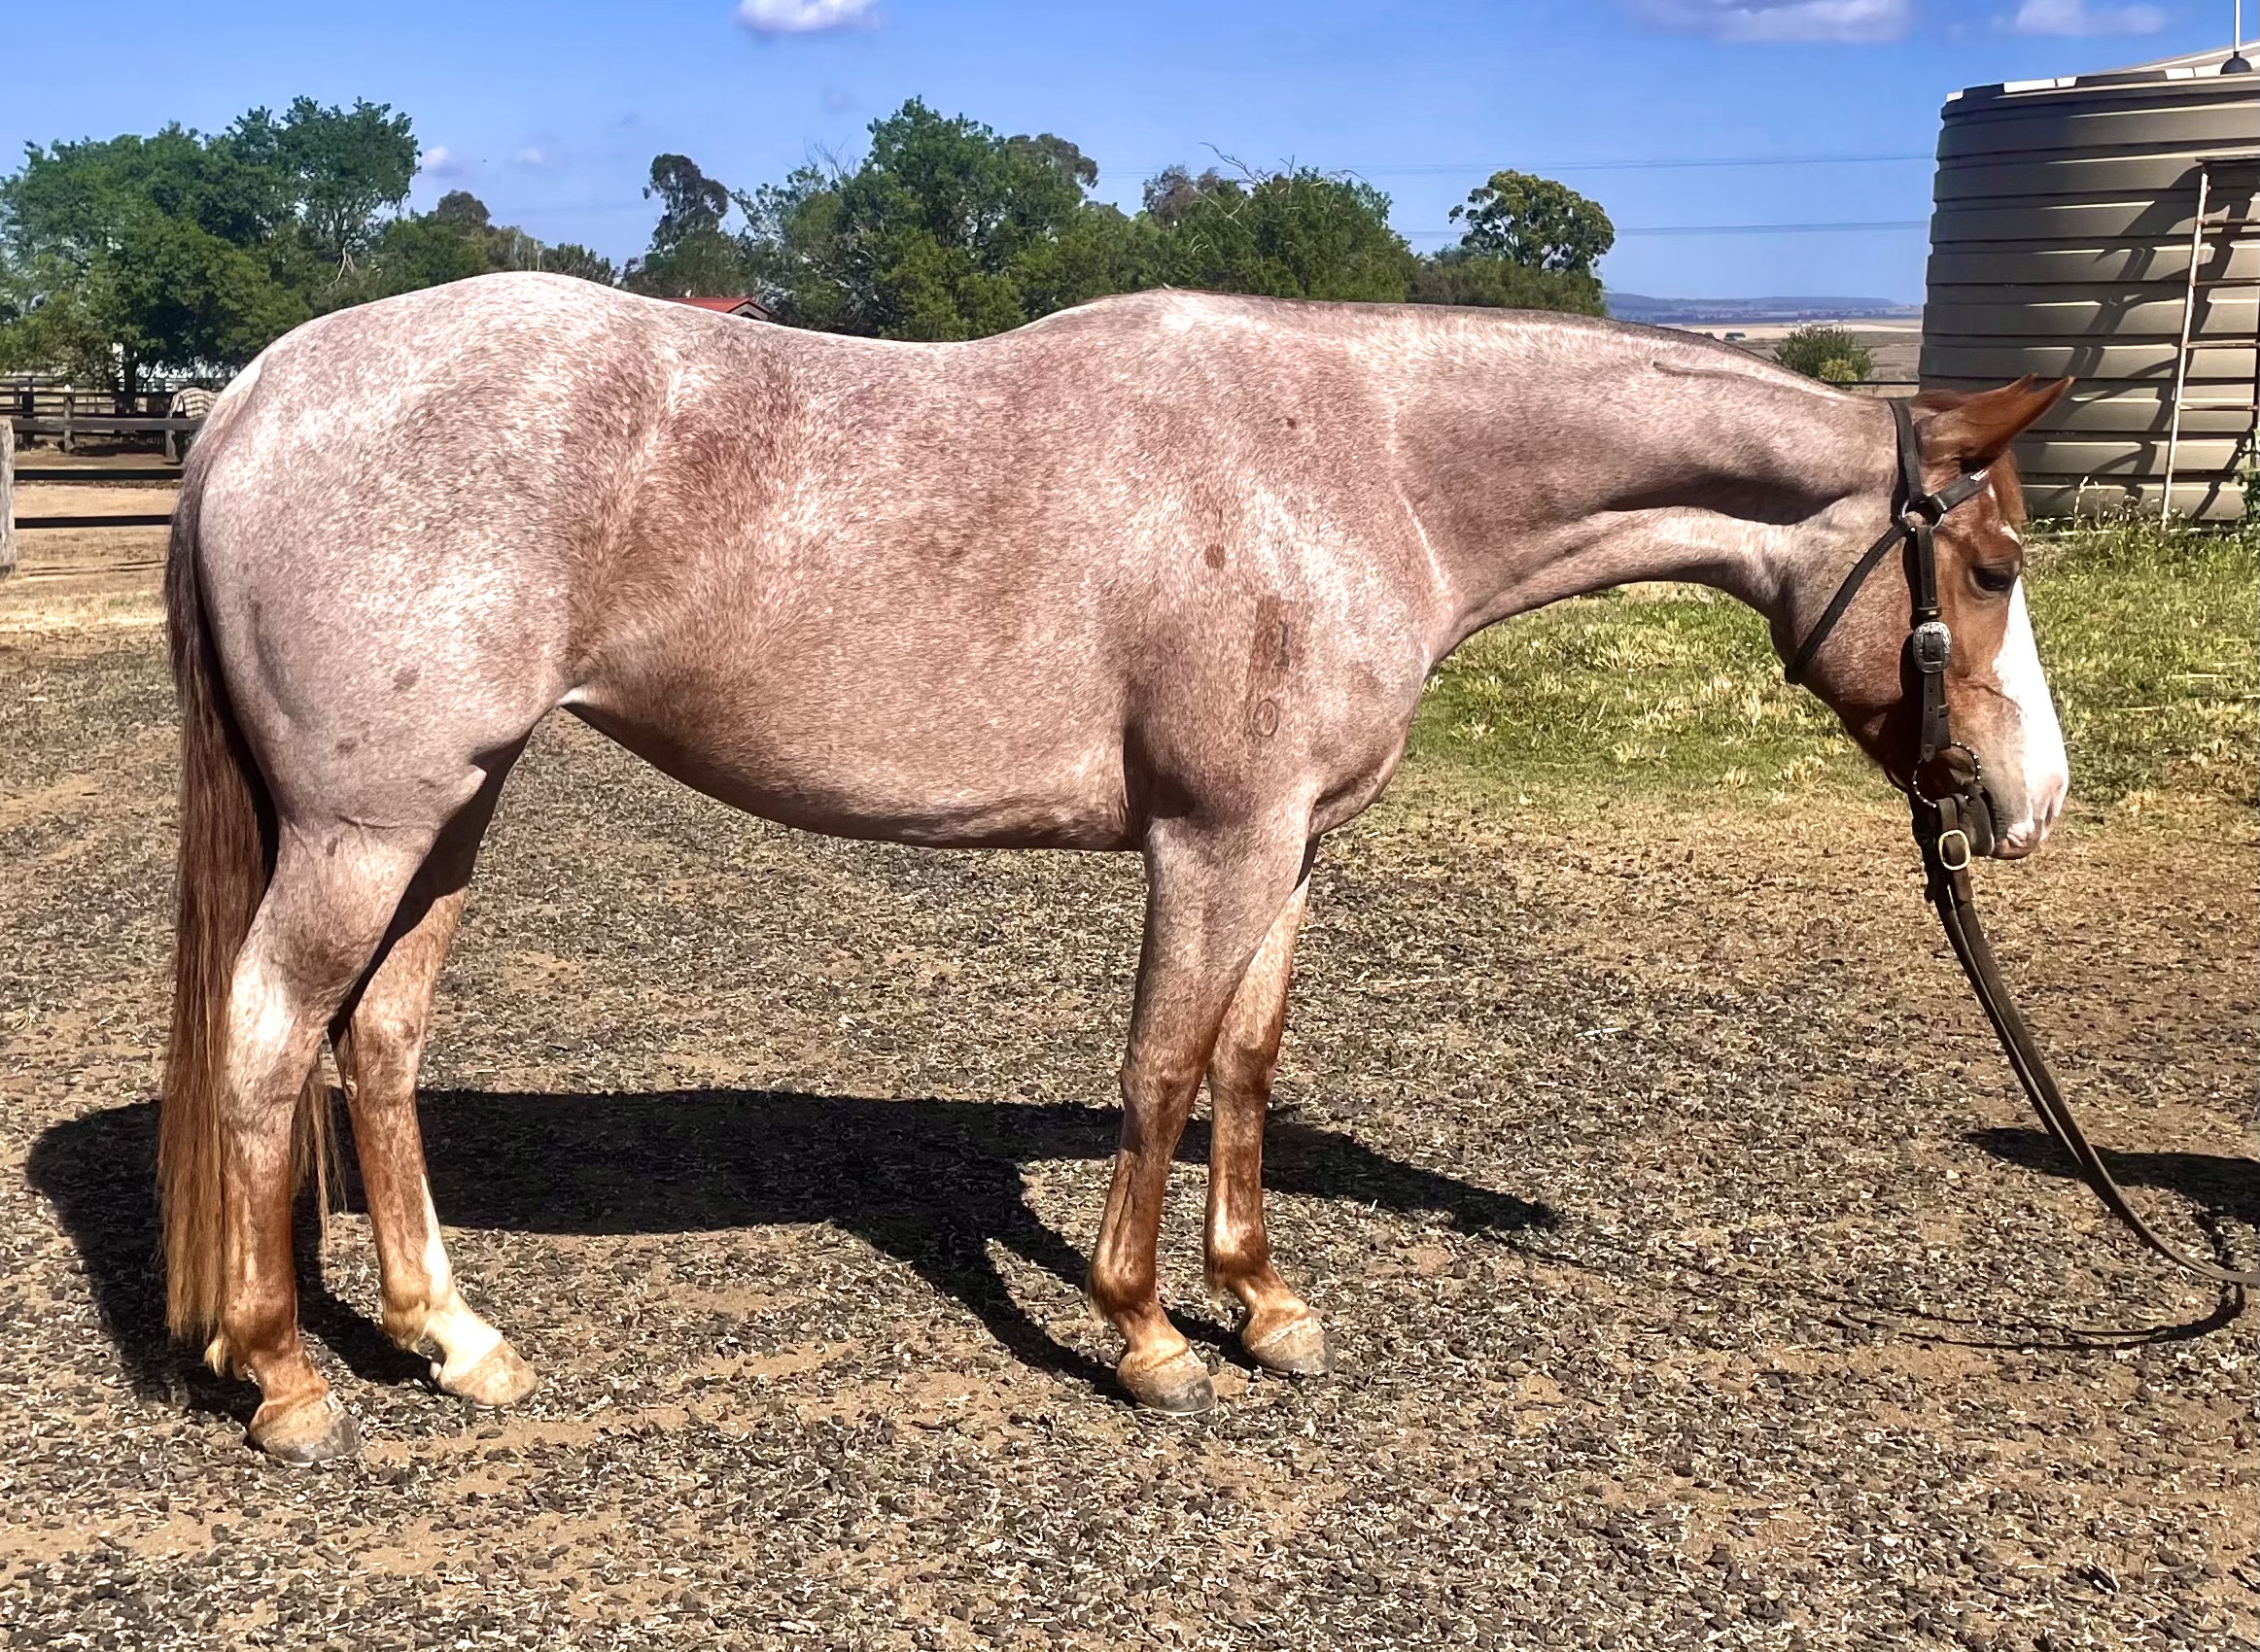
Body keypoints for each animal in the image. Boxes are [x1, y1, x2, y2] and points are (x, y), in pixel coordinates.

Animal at [157, 273, 2070, 1462]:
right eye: (1987, 566)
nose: (2030, 802)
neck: (1366, 462)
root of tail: (256, 389)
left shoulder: (1295, 846)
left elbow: (1245, 1064)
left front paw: (1264, 1307)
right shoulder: (1215, 837)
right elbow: (1157, 1069)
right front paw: (1145, 1337)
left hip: (453, 812)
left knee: (378, 1045)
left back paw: (447, 1339)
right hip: (370, 826)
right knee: (265, 1041)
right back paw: (286, 1378)